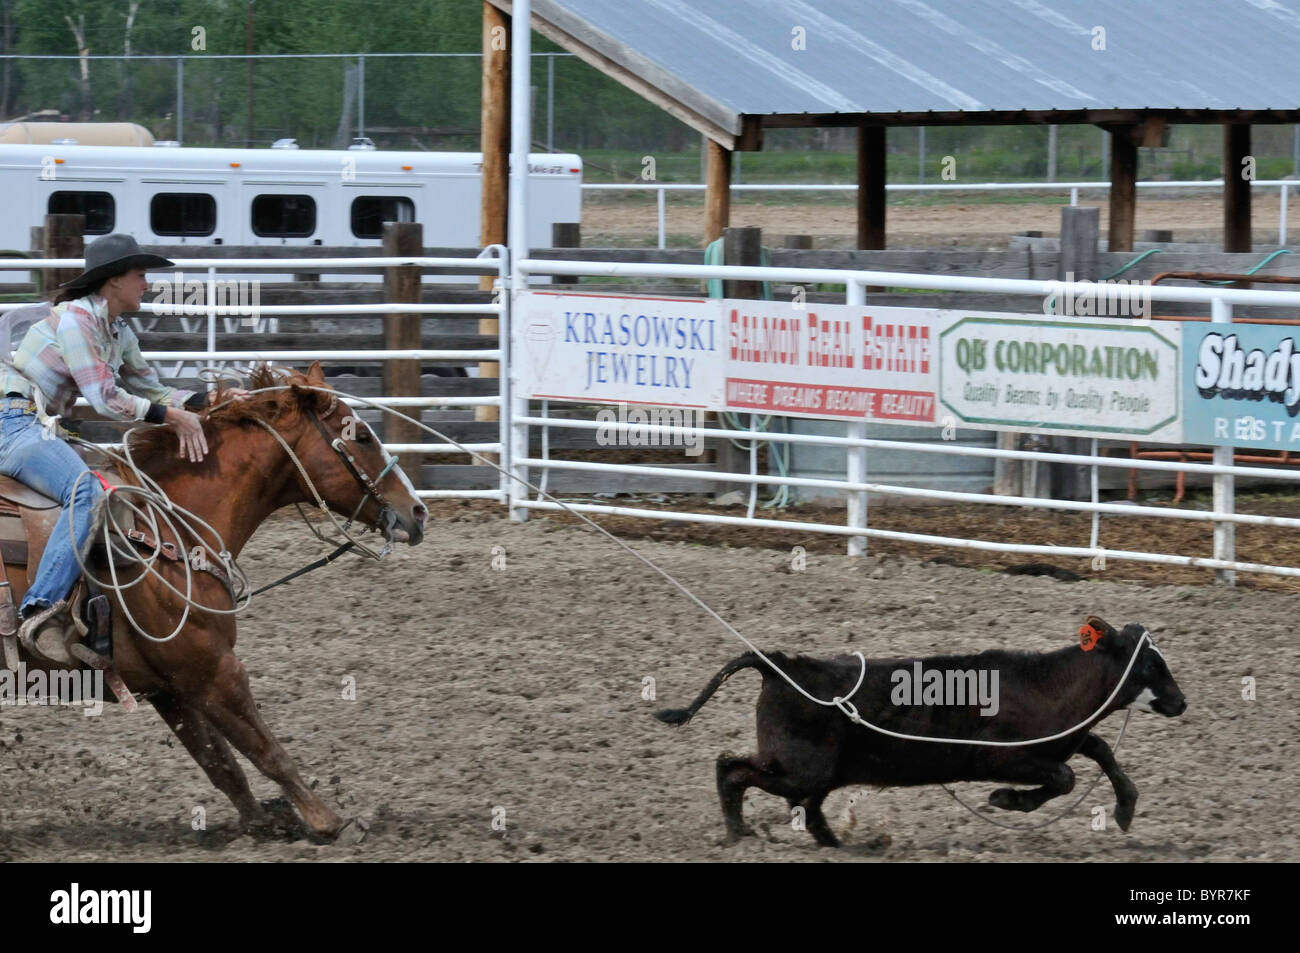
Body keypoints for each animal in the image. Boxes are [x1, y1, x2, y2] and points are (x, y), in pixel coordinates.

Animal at [655, 616, 1186, 847]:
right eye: (1147, 664)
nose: (1181, 702)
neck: (1048, 685)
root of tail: (779, 666)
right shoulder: (1000, 757)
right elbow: (1065, 778)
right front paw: (1006, 800)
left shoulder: (1067, 741)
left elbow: (1101, 750)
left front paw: (1125, 808)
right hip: (799, 767)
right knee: (732, 770)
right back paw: (738, 835)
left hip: (814, 770)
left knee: (803, 803)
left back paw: (841, 848)